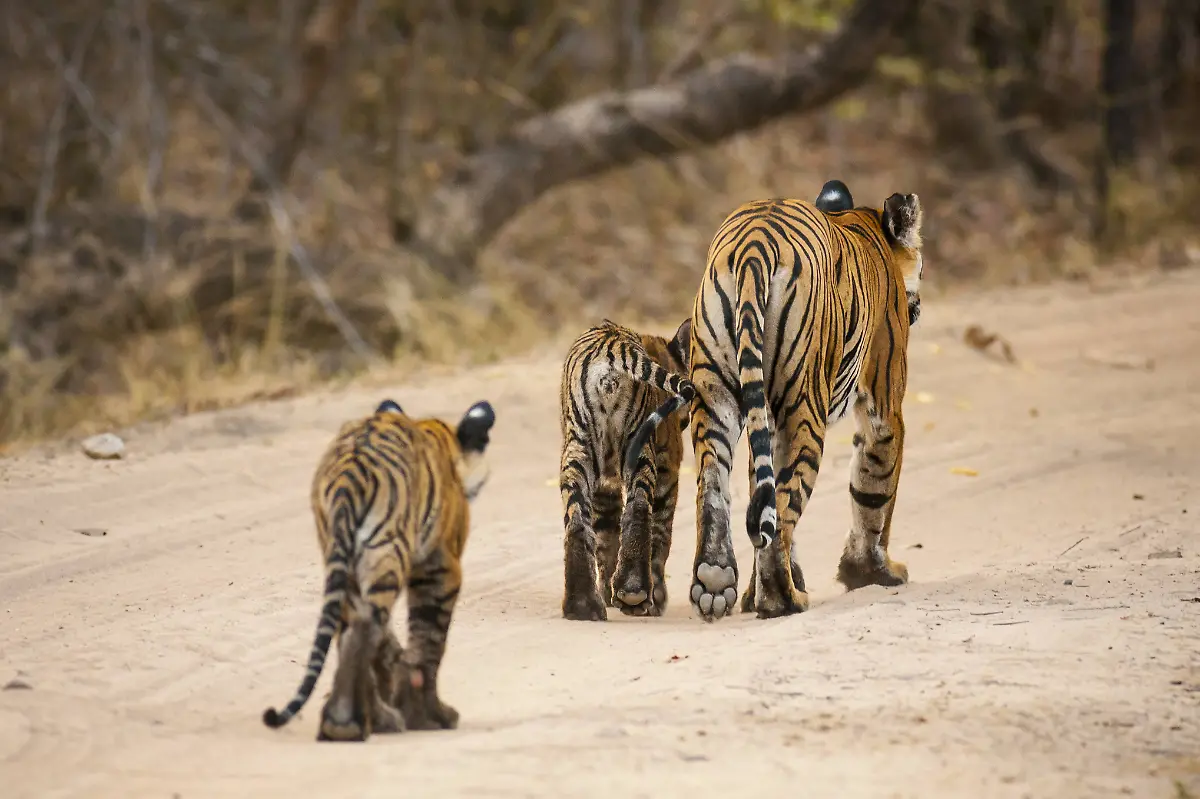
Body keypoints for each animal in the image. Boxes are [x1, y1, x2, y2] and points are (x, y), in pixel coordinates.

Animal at [262, 397, 497, 741]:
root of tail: (348, 472)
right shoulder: (440, 567)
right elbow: (429, 643)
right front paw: (431, 716)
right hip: (385, 551)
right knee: (365, 627)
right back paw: (348, 724)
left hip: (344, 560)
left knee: (350, 630)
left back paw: (362, 720)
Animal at [559, 318, 694, 621]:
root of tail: (612, 346)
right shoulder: (669, 471)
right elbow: (661, 533)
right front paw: (656, 597)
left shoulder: (604, 484)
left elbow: (606, 537)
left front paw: (608, 593)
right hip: (640, 448)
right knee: (640, 506)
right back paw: (635, 592)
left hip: (577, 453)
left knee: (577, 519)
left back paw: (582, 605)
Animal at [683, 180, 925, 622]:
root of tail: (754, 246)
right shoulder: (884, 405)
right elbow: (875, 489)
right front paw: (870, 572)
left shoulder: (763, 420)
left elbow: (761, 487)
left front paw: (751, 593)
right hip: (804, 408)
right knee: (784, 507)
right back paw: (783, 599)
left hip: (714, 394)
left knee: (715, 487)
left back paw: (716, 583)